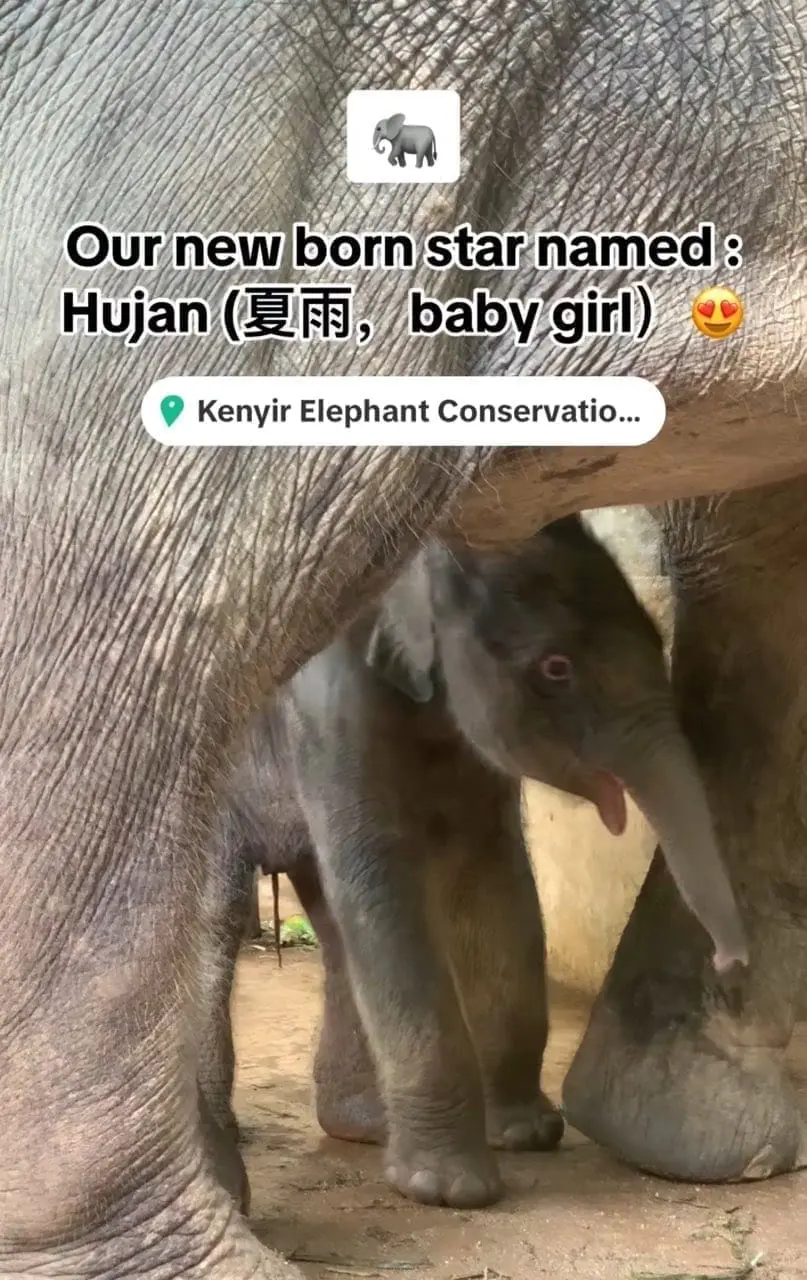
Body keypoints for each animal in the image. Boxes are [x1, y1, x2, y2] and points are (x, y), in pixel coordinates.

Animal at [203, 515, 745, 1210]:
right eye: (556, 668)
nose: (729, 964)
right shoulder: (328, 704)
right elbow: (383, 877)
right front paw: (449, 1189)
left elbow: (493, 870)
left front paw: (526, 1134)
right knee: (218, 919)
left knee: (332, 928)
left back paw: (363, 1127)